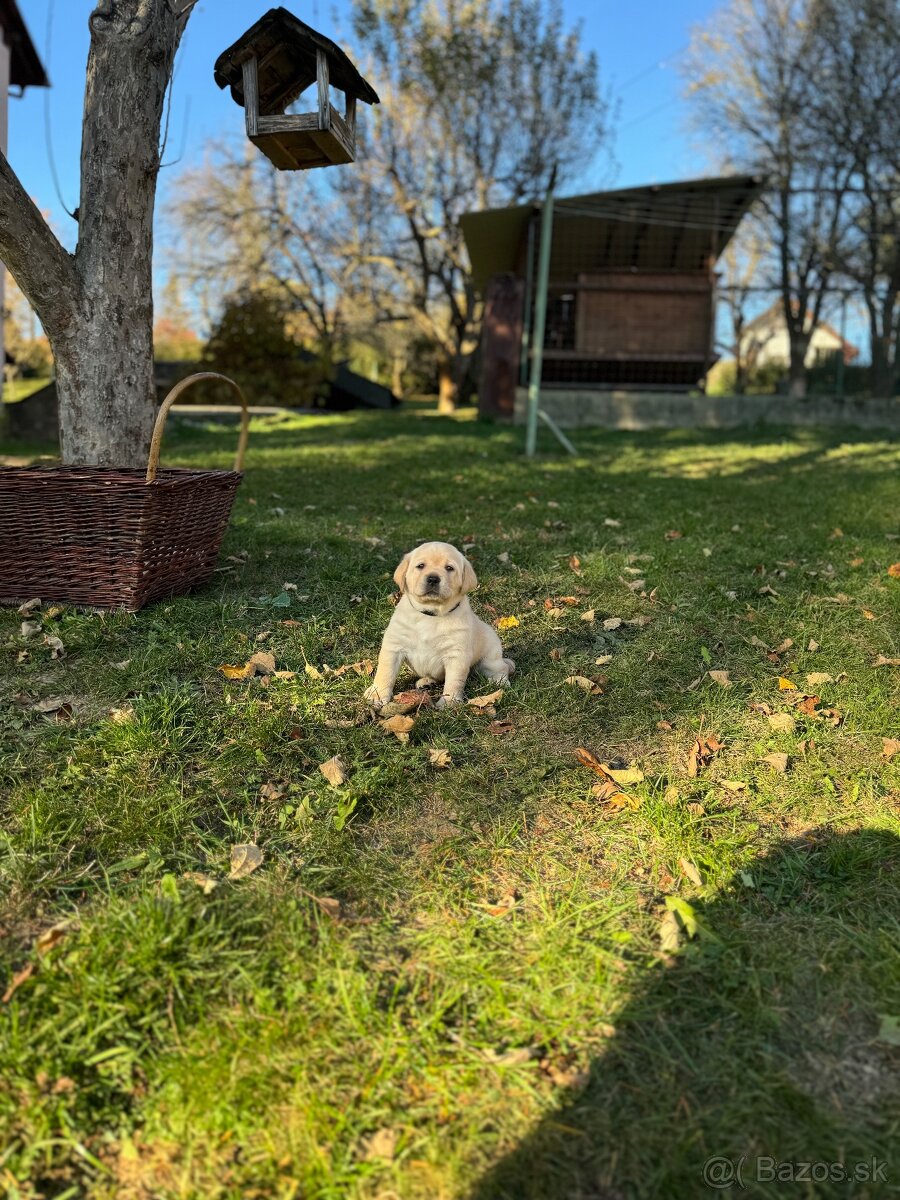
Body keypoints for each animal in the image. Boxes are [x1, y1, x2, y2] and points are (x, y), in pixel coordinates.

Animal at [364, 547, 513, 710]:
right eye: (421, 566)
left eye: (449, 568)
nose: (433, 579)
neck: (431, 614)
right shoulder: (394, 647)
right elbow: (385, 672)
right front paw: (377, 694)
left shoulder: (456, 655)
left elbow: (453, 682)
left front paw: (449, 702)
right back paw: (426, 682)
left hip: (490, 656)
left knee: (501, 668)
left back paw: (500, 682)